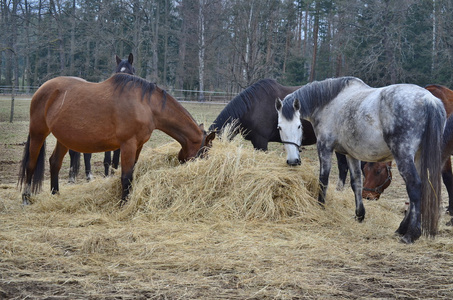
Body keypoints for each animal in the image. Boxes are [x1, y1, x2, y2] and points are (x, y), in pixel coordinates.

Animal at [19, 73, 214, 204]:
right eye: (205, 153)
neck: (147, 105)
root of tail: (42, 89)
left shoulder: (138, 145)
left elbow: (132, 173)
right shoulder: (128, 144)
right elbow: (125, 176)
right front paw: (123, 203)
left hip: (63, 138)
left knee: (54, 163)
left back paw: (55, 194)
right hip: (38, 133)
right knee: (31, 163)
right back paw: (26, 197)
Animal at [67, 52, 134, 182]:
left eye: (130, 72)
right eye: (117, 73)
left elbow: (115, 160)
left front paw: (113, 174)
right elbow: (107, 160)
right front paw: (107, 176)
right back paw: (82, 177)